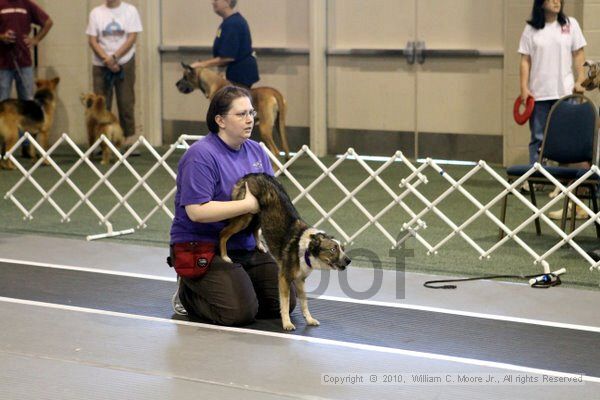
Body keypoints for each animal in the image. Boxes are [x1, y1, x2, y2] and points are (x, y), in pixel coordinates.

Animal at [218, 173, 350, 332]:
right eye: (332, 249)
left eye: (342, 249)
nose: (349, 261)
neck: (305, 250)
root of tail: (251, 175)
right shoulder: (284, 278)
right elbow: (285, 304)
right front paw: (287, 323)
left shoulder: (300, 280)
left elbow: (304, 303)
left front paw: (309, 319)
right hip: (245, 215)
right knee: (223, 233)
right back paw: (225, 256)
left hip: (258, 215)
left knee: (255, 229)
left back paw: (260, 245)